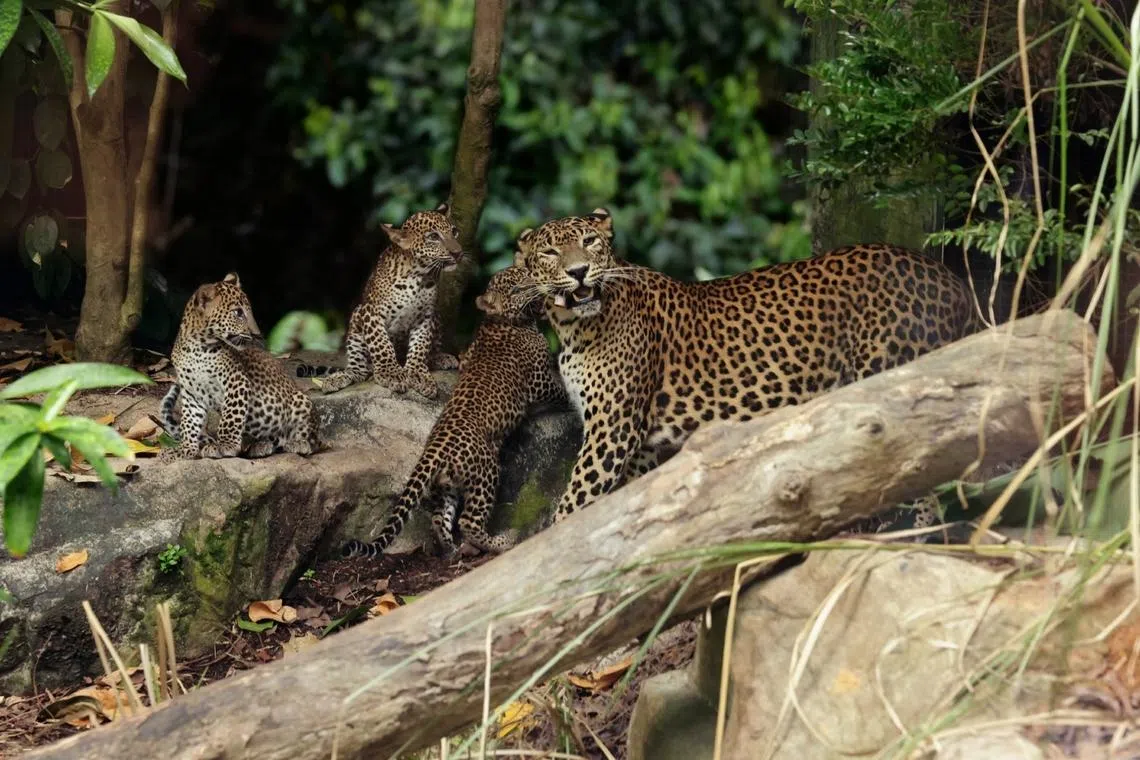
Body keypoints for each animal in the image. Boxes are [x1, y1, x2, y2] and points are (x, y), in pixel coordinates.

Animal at [159, 273, 319, 461]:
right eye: (238, 313)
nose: (257, 334)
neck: (197, 347)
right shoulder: (192, 393)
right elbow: (189, 424)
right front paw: (184, 450)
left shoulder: (236, 380)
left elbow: (230, 416)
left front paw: (224, 445)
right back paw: (261, 445)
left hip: (300, 402)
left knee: (312, 438)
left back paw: (298, 443)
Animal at [319, 203, 464, 400]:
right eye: (434, 237)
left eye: (454, 232)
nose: (458, 253)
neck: (418, 276)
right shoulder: (371, 312)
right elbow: (381, 344)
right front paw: (391, 373)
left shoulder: (426, 316)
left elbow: (421, 346)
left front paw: (418, 373)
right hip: (356, 320)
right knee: (359, 370)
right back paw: (337, 378)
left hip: (437, 316)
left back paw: (440, 358)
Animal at [343, 265, 566, 558]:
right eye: (518, 287)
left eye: (526, 274)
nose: (537, 283)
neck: (500, 321)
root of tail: (434, 449)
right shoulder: (540, 382)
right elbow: (559, 390)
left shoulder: (465, 357)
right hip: (486, 472)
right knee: (468, 521)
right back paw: (500, 542)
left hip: (444, 486)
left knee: (441, 519)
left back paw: (452, 550)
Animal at [513, 208, 978, 523]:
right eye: (551, 251)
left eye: (590, 242)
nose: (579, 271)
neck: (574, 328)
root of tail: (950, 280)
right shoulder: (639, 446)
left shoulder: (612, 432)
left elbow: (573, 506)